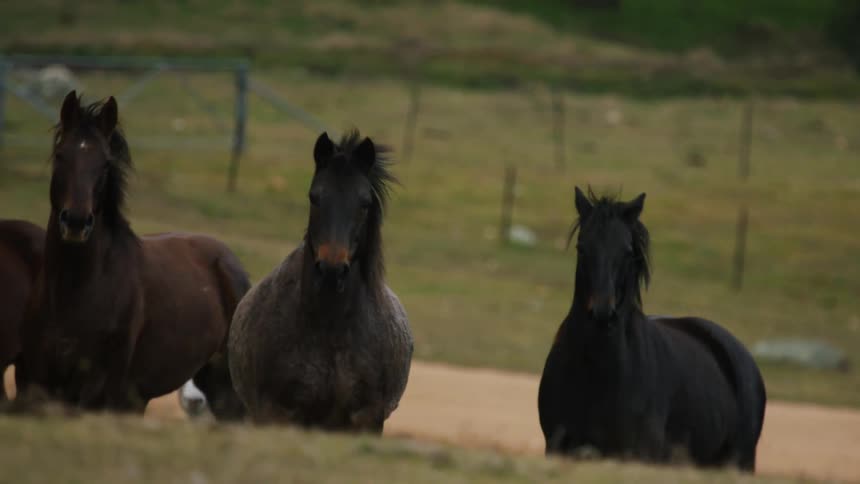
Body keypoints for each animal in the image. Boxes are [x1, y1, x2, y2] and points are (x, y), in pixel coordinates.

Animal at [15, 91, 249, 420]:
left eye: (104, 164)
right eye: (61, 155)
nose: (76, 222)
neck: (73, 293)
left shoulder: (98, 390)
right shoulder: (36, 383)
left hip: (223, 388)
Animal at [229, 130, 413, 432]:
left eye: (364, 203)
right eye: (314, 197)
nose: (331, 269)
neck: (331, 330)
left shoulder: (366, 420)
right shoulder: (277, 415)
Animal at [537, 187, 766, 471]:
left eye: (627, 252)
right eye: (581, 248)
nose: (602, 313)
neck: (597, 372)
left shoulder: (638, 455)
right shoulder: (558, 447)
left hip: (741, 460)